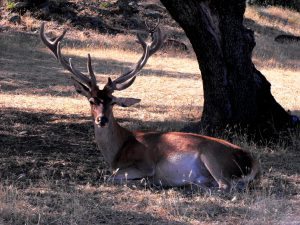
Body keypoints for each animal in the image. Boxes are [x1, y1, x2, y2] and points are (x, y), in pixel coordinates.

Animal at [40, 21, 260, 192]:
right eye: (92, 101)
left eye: (112, 102)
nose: (101, 119)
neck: (117, 152)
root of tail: (253, 162)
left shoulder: (144, 165)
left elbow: (109, 176)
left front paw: (147, 182)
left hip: (214, 158)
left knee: (227, 187)